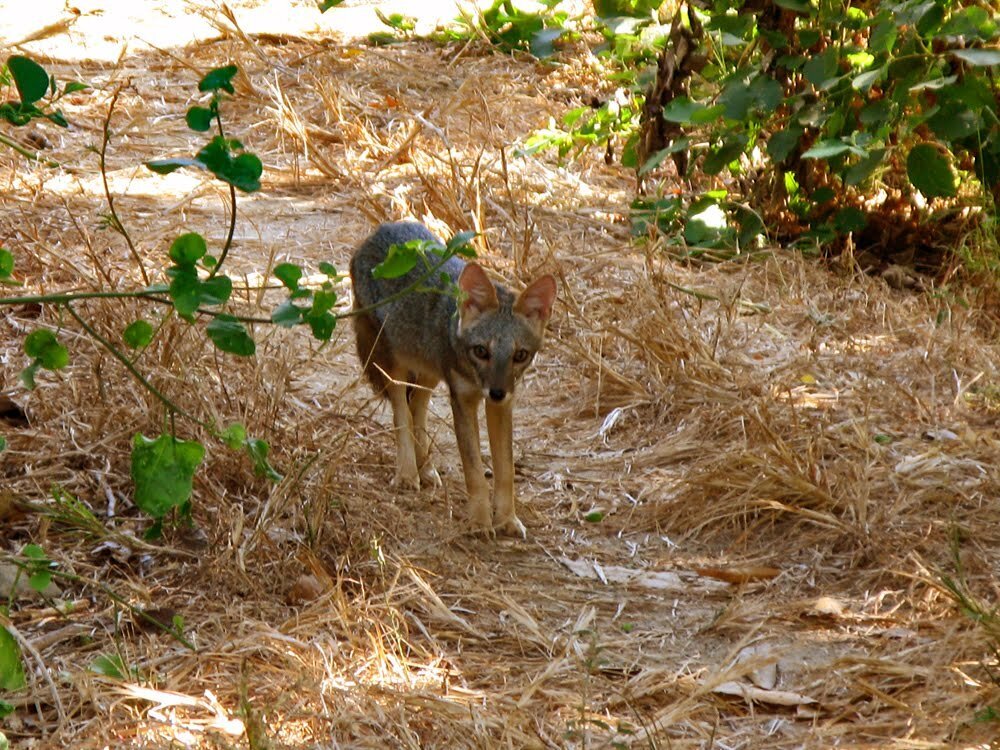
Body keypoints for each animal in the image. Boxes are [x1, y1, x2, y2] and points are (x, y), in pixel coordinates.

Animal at [350, 221, 557, 537]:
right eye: (481, 351)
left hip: (429, 371)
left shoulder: (500, 406)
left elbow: (505, 469)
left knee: (417, 408)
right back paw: (408, 473)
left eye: (520, 355)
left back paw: (425, 468)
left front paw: (507, 520)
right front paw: (480, 523)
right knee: (401, 413)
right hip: (395, 365)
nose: (496, 392)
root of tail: (383, 228)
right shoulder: (462, 399)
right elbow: (474, 471)